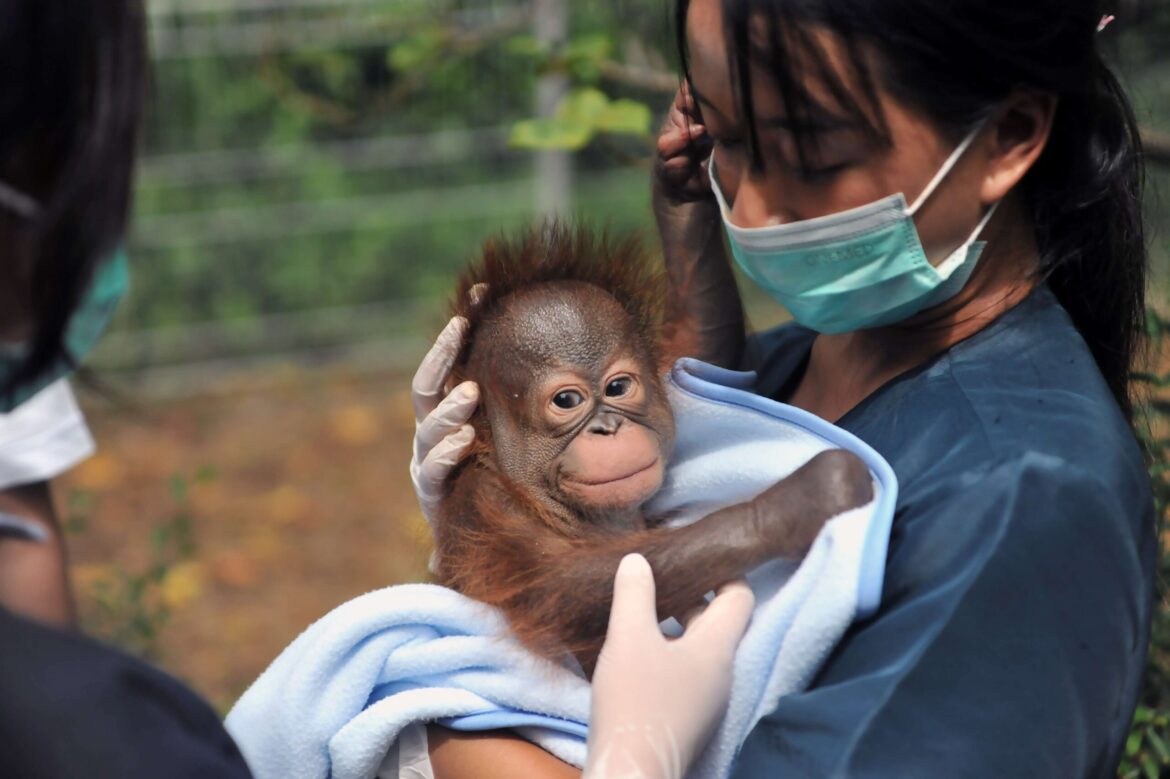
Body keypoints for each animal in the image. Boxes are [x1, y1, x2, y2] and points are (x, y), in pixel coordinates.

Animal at [432, 222, 873, 676]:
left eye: (618, 388)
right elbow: (573, 584)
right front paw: (797, 503)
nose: (608, 428)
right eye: (567, 400)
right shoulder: (485, 504)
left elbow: (702, 337)